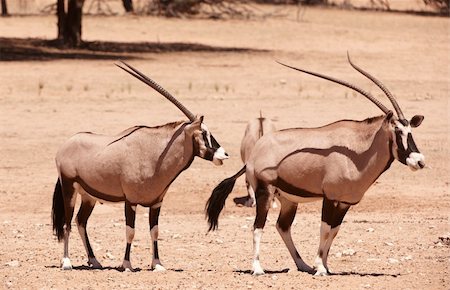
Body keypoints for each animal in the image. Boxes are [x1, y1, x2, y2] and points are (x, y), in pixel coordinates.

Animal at [52, 61, 229, 272]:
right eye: (203, 133)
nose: (223, 154)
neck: (155, 154)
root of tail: (66, 144)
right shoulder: (131, 201)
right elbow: (130, 231)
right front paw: (127, 264)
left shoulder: (156, 202)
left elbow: (155, 231)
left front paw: (158, 264)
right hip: (69, 188)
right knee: (67, 223)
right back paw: (66, 262)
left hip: (89, 196)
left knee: (81, 221)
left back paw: (94, 261)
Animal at [206, 55, 424, 276]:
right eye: (398, 131)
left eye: (410, 131)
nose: (419, 161)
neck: (359, 151)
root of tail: (254, 154)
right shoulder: (330, 198)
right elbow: (325, 229)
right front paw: (320, 267)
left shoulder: (344, 202)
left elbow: (334, 231)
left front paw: (324, 266)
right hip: (265, 192)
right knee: (258, 227)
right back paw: (257, 268)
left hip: (288, 199)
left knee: (282, 226)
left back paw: (302, 265)